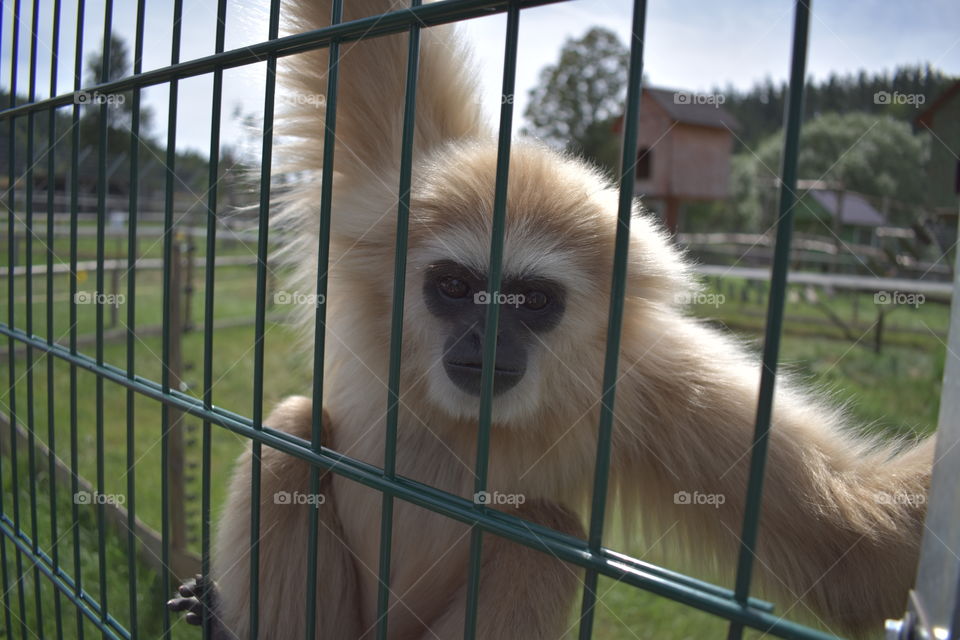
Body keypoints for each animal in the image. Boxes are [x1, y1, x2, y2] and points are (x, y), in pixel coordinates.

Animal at [167, 0, 935, 637]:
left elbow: (860, 550)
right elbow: (361, 26)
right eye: (456, 286)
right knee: (296, 428)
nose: (484, 336)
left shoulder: (649, 380)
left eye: (532, 300)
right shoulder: (387, 197)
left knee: (542, 533)